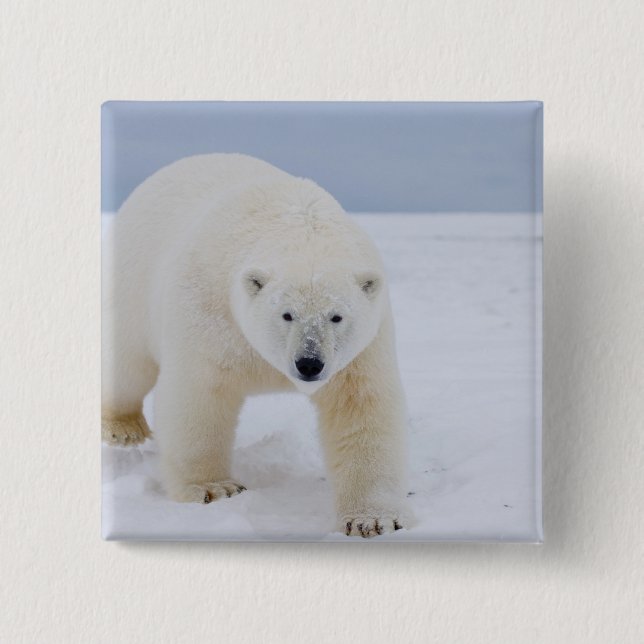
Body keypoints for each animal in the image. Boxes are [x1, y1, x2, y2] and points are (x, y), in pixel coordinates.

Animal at [102, 153, 410, 537]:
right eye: (287, 314)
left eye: (336, 316)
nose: (309, 363)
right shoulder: (209, 312)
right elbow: (199, 395)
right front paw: (214, 488)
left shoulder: (364, 346)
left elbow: (362, 409)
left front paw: (373, 519)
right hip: (134, 284)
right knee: (128, 363)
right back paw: (124, 428)